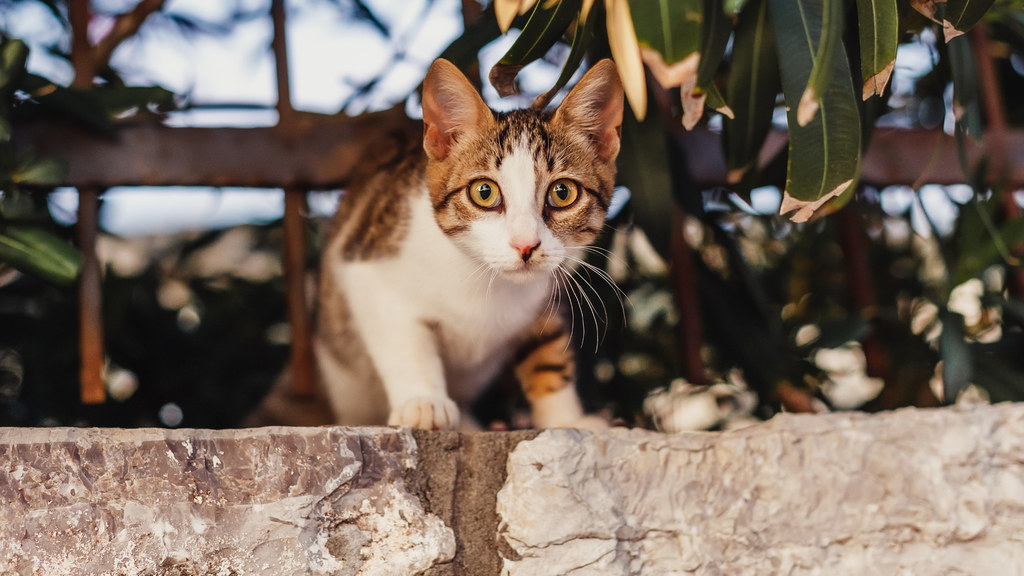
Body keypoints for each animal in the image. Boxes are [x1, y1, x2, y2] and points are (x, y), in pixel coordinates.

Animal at [256, 57, 622, 430]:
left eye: (562, 193)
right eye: (484, 192)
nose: (525, 245)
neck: (485, 279)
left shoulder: (551, 285)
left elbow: (548, 348)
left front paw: (566, 419)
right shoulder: (364, 269)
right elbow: (405, 338)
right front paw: (423, 401)